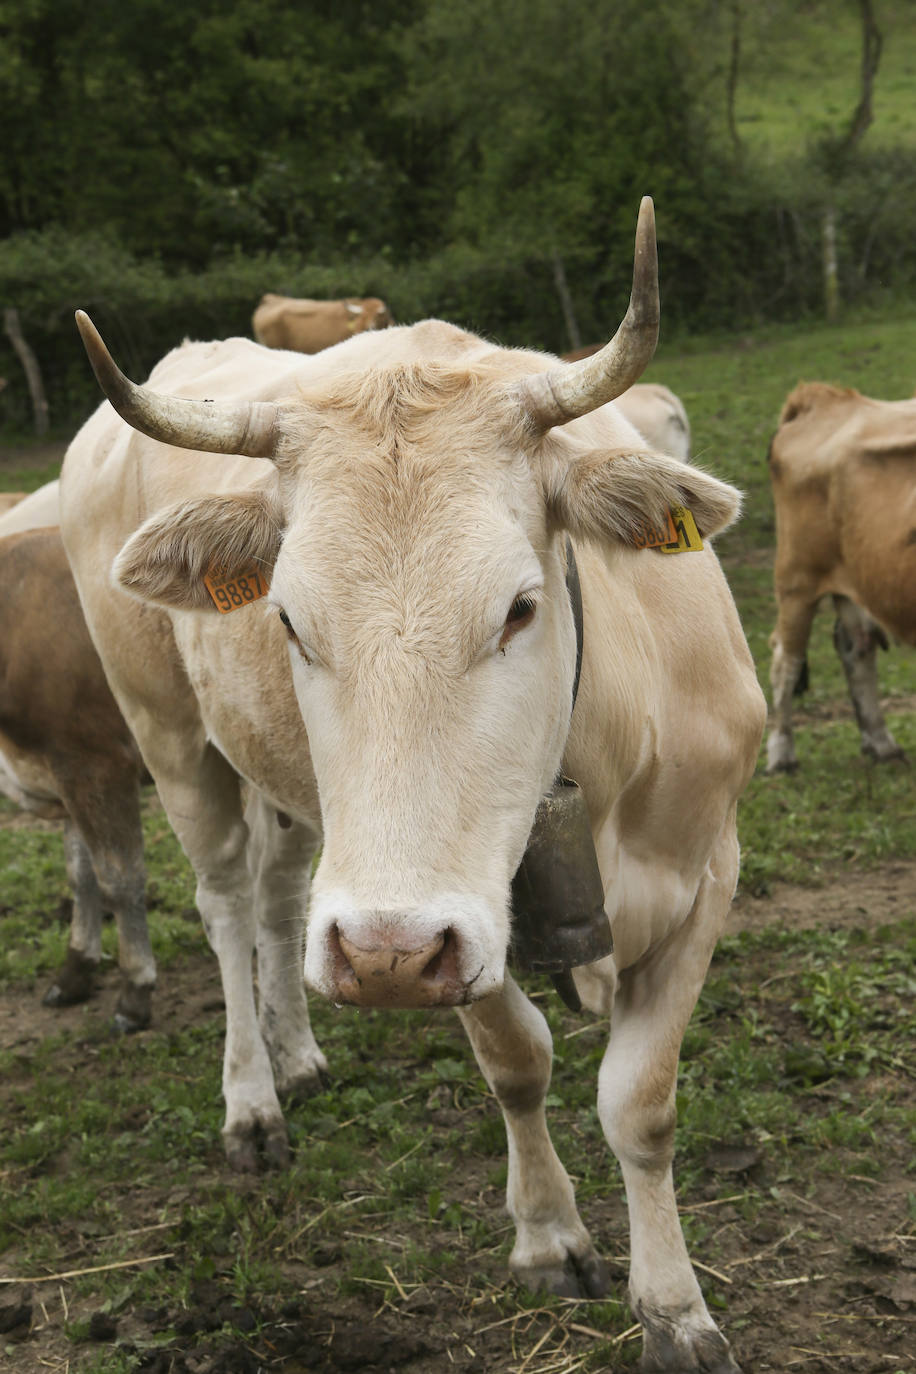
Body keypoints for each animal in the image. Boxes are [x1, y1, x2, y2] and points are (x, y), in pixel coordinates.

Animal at [0, 486, 153, 1033]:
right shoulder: (61, 771)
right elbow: (80, 876)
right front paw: (75, 969)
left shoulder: (95, 763)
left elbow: (119, 879)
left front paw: (135, 990)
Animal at [769, 381, 916, 780]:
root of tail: (823, 398)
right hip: (797, 579)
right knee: (785, 662)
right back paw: (781, 754)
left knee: (855, 648)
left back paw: (880, 744)